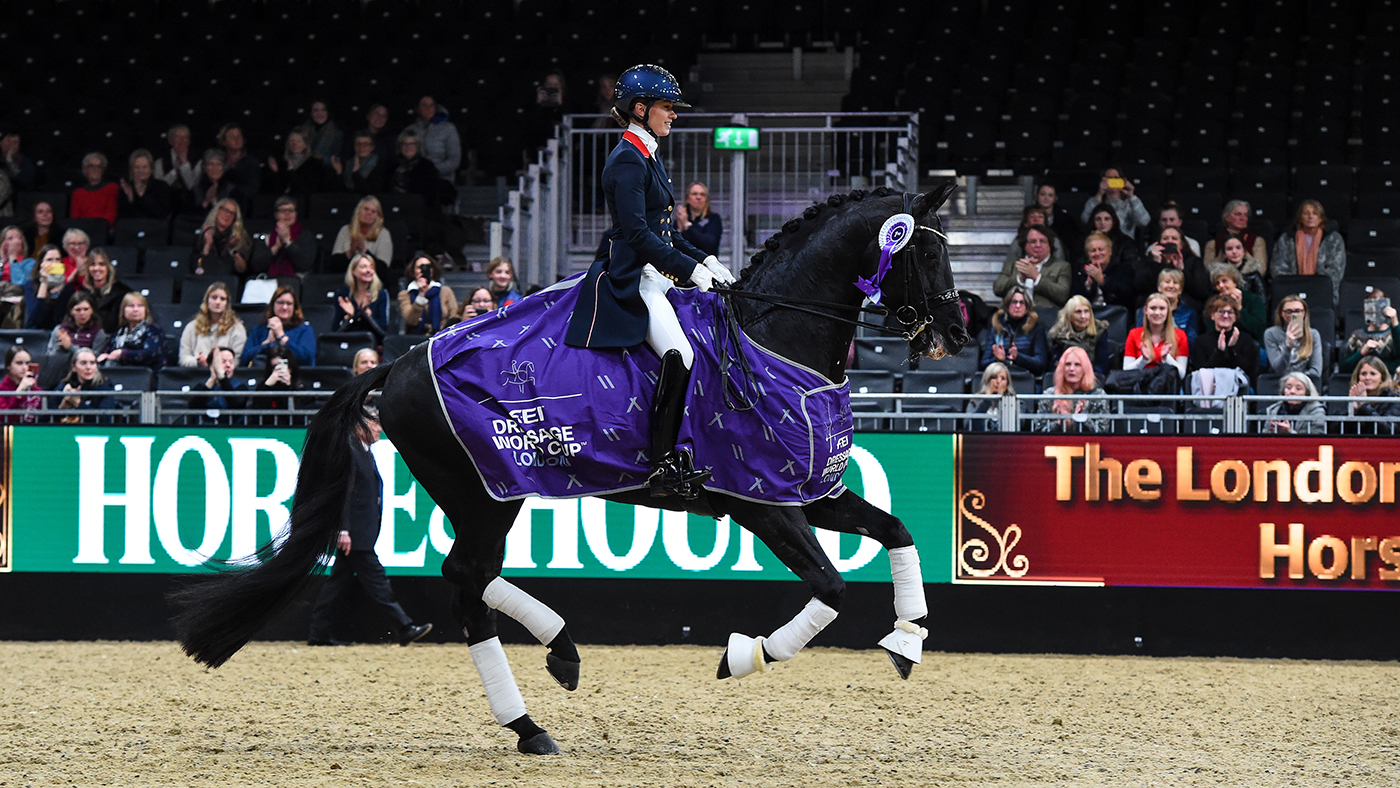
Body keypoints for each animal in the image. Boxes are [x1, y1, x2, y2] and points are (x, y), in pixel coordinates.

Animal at [171, 182, 970, 755]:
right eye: (927, 253)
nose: (958, 331)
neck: (772, 335)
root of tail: (397, 363)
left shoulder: (810, 489)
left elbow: (897, 531)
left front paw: (907, 640)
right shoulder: (758, 500)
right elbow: (831, 587)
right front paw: (744, 655)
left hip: (494, 492)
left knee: (470, 576)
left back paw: (557, 661)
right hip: (485, 491)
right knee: (466, 580)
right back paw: (531, 719)